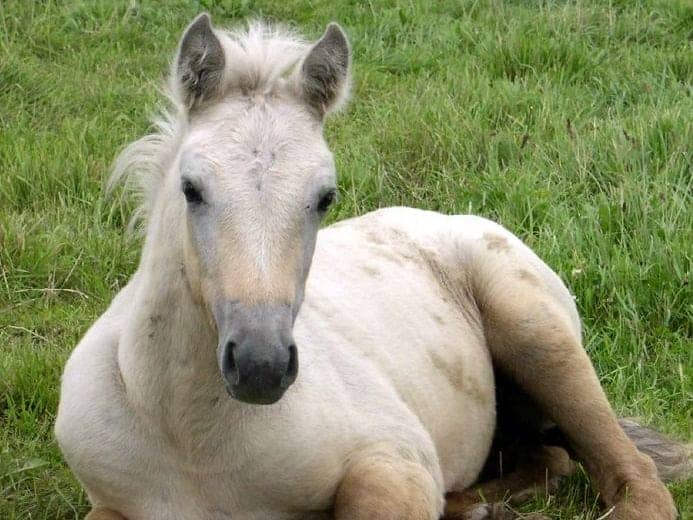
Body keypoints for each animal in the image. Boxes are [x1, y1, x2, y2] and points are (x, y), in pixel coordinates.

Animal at [55, 14, 680, 520]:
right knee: (548, 459)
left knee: (632, 477)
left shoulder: (392, 459)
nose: (260, 365)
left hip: (535, 331)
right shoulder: (109, 502)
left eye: (324, 196)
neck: (191, 439)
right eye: (191, 188)